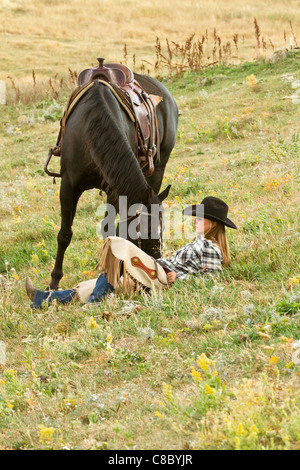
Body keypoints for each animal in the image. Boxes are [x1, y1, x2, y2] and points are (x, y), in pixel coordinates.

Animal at [48, 71, 177, 290]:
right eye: (143, 233)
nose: (160, 273)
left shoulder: (112, 188)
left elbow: (108, 230)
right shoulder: (68, 185)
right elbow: (64, 234)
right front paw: (53, 283)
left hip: (158, 168)